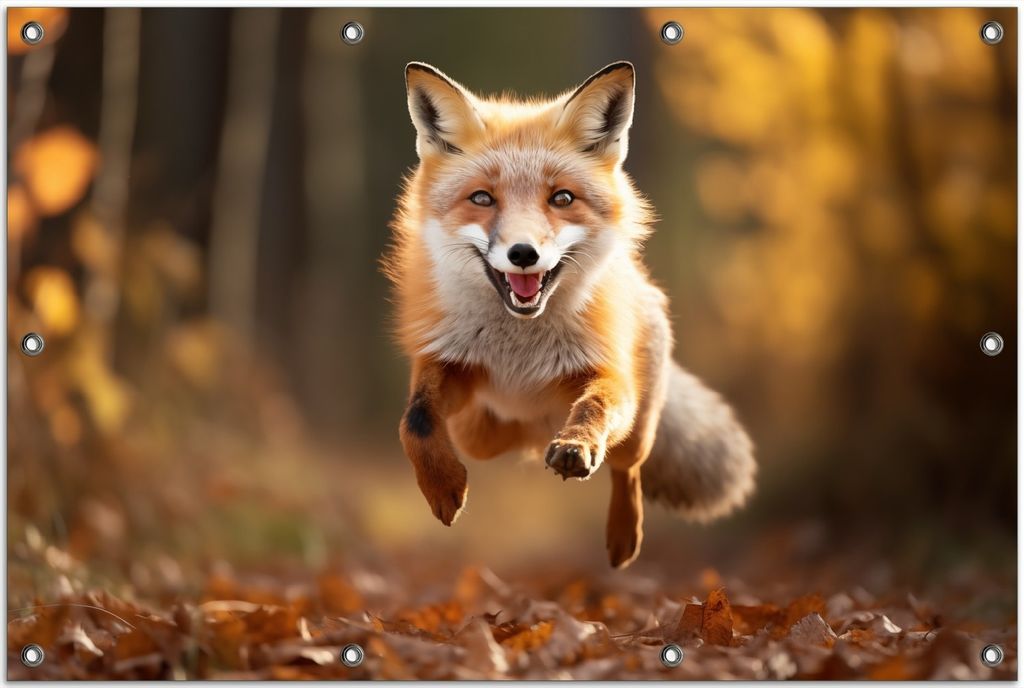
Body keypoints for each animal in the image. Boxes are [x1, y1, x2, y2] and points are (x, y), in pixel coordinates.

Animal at [383, 61, 756, 568]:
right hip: (477, 432)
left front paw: (576, 445)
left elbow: (594, 408)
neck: (520, 350)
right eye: (482, 199)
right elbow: (416, 421)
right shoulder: (448, 364)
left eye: (561, 198)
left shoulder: (608, 373)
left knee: (627, 467)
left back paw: (623, 537)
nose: (523, 253)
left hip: (639, 426)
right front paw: (442, 487)